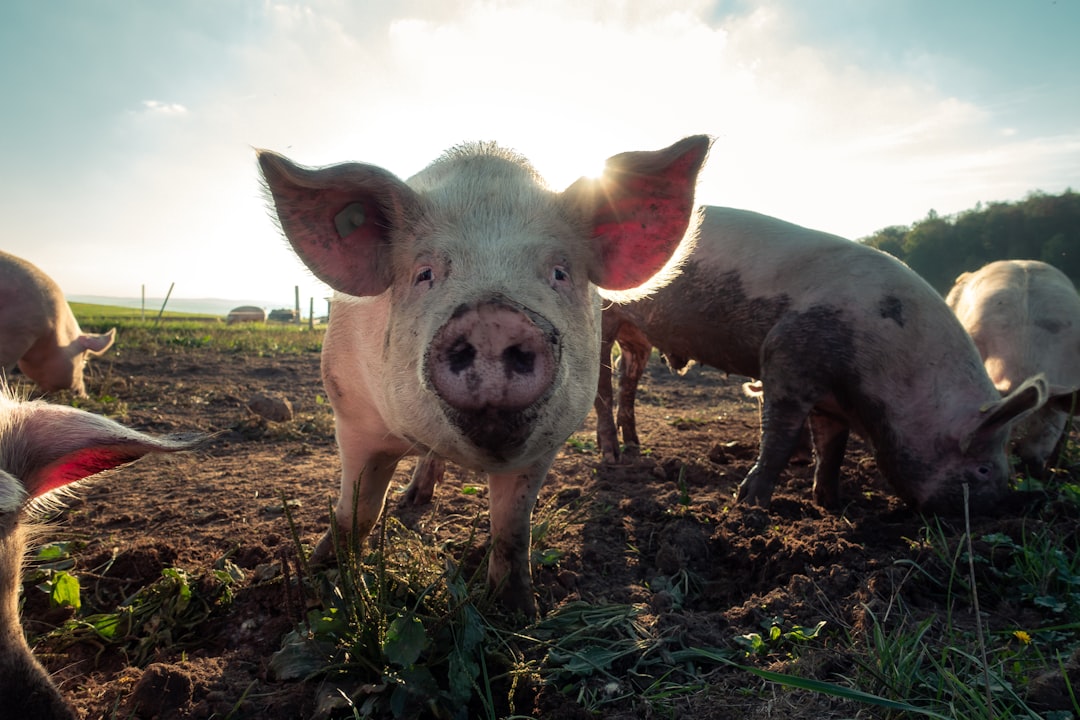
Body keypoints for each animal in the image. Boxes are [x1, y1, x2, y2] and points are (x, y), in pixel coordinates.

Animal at [258, 136, 710, 616]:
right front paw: (320, 580)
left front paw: (518, 612)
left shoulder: (546, 443)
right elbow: (357, 511)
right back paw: (412, 500)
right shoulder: (351, 412)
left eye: (559, 272)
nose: (493, 318)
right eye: (425, 273)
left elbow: (512, 528)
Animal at [593, 206, 1048, 513]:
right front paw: (749, 505)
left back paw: (635, 449)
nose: (1001, 509)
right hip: (604, 318)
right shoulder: (785, 358)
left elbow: (832, 447)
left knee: (626, 379)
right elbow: (779, 436)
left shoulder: (833, 401)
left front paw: (831, 503)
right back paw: (611, 457)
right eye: (983, 469)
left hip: (638, 336)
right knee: (601, 386)